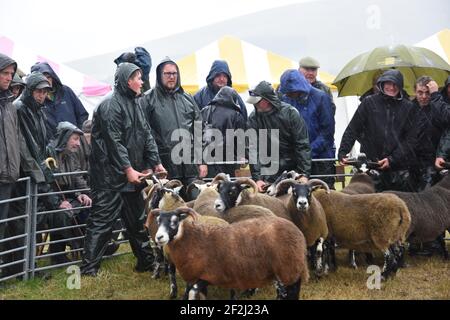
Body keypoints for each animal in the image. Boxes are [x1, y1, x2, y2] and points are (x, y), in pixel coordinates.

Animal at [148, 206, 310, 298]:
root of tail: (298, 233)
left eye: (174, 221)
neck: (192, 239)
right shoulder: (199, 278)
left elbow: (192, 293)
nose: (159, 237)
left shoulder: (204, 276)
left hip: (287, 269)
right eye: (158, 221)